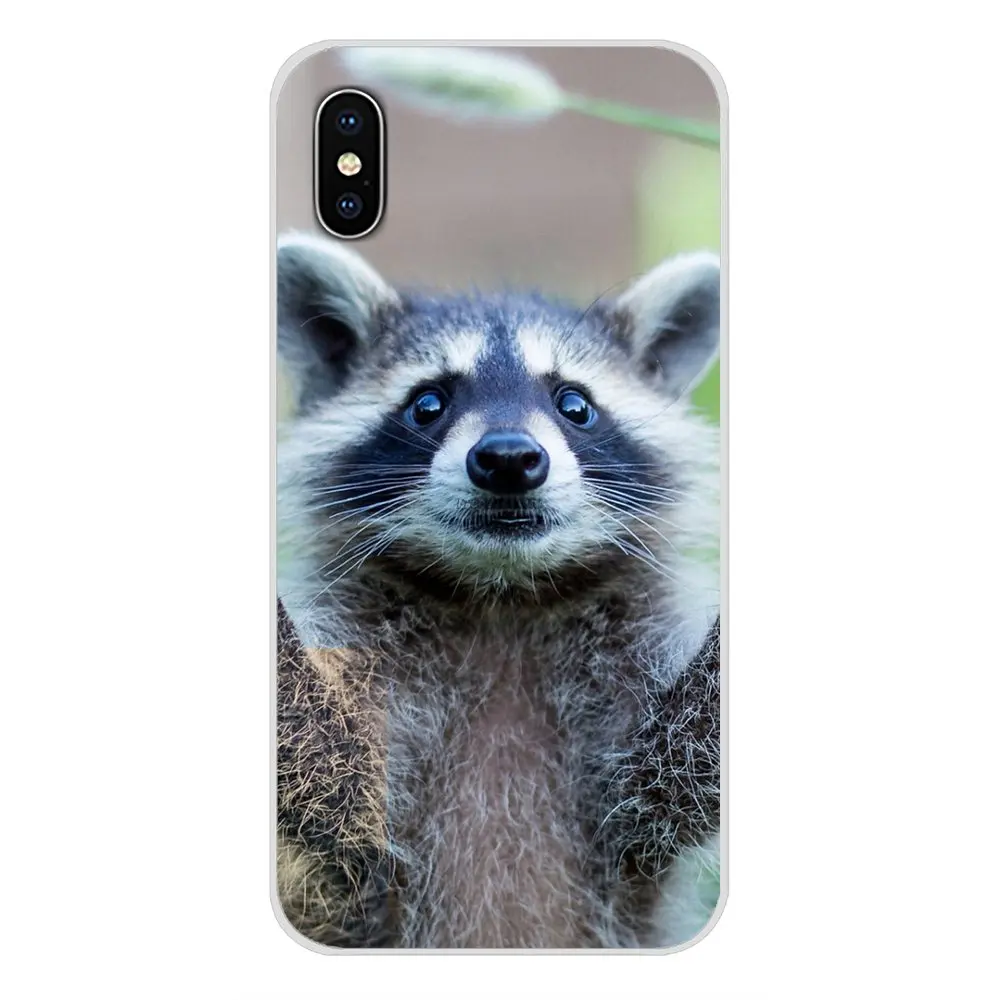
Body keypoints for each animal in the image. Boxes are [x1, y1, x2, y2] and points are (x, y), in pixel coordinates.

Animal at [275, 231, 722, 949]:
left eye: (575, 405)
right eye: (428, 404)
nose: (508, 458)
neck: (500, 597)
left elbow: (681, 768)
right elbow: (328, 770)